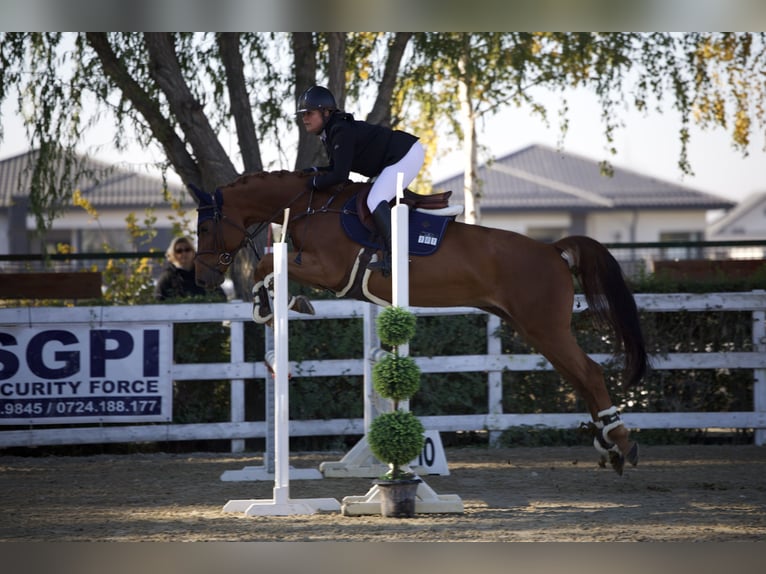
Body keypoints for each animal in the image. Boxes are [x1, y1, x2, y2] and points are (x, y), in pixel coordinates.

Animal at [192, 169, 648, 474]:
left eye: (205, 226)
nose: (203, 278)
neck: (314, 206)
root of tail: (554, 250)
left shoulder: (331, 271)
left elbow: (267, 263)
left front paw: (278, 304)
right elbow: (269, 265)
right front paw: (277, 303)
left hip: (545, 328)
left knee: (588, 373)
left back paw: (619, 442)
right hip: (534, 329)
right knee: (578, 377)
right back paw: (606, 444)